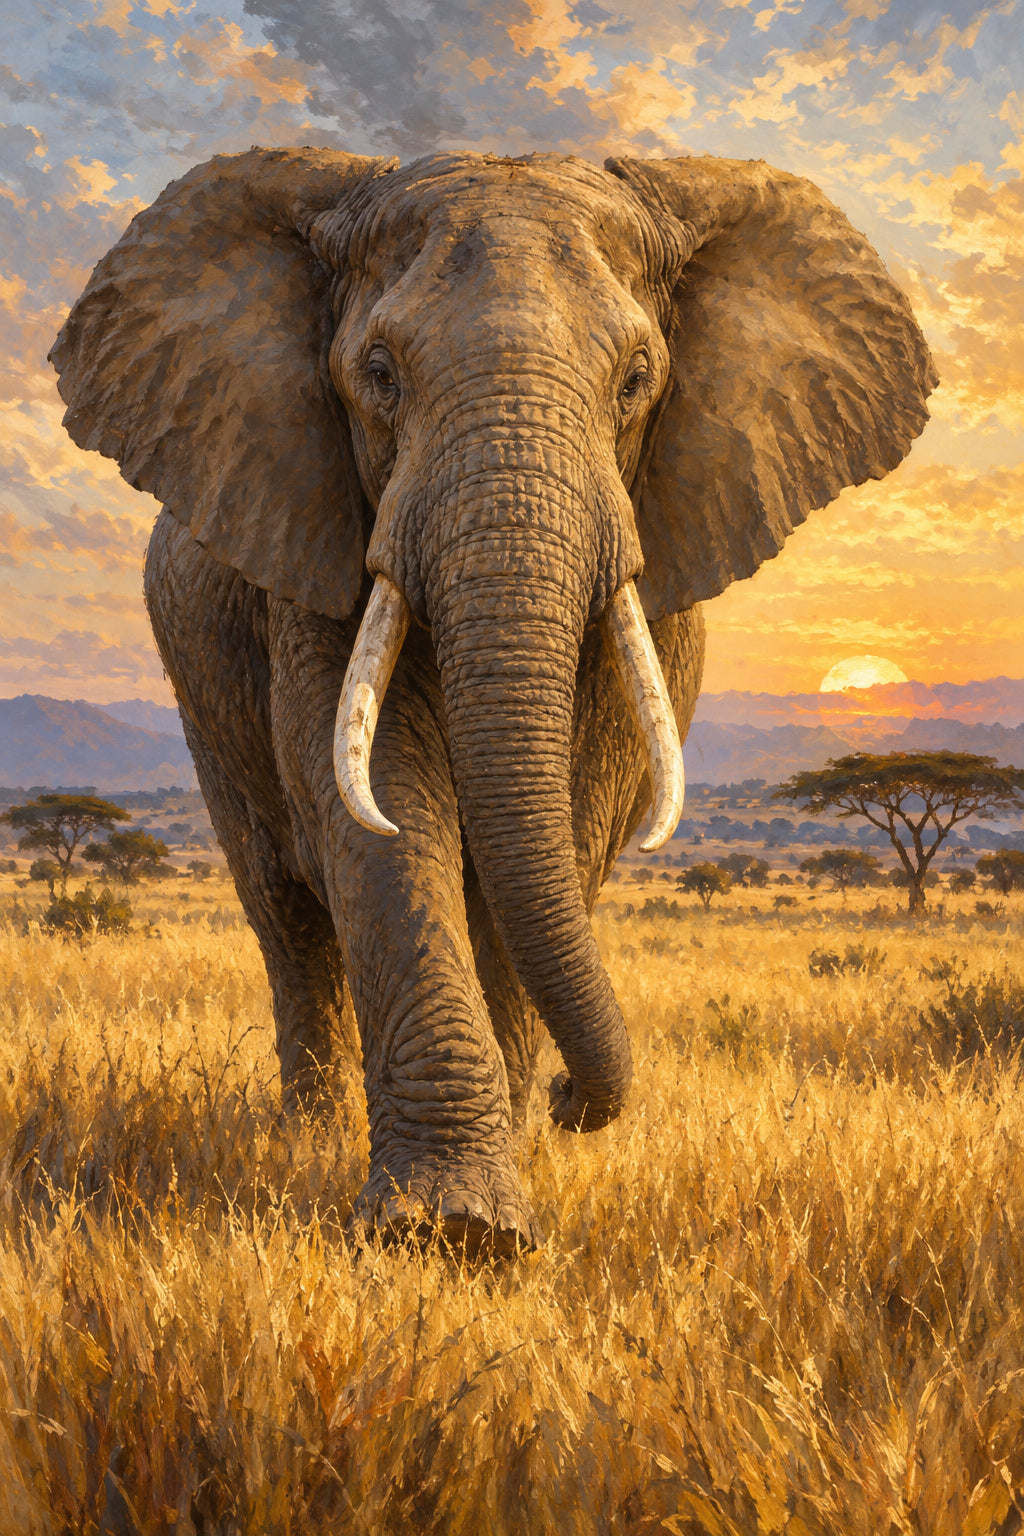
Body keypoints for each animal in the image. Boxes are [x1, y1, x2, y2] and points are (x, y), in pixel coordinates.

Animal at [50, 147, 936, 1255]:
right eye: (378, 373)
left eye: (637, 378)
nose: (571, 1103)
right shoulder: (316, 550)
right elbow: (379, 806)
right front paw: (449, 1229)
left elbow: (576, 810)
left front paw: (497, 1190)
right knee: (286, 915)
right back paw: (306, 1139)